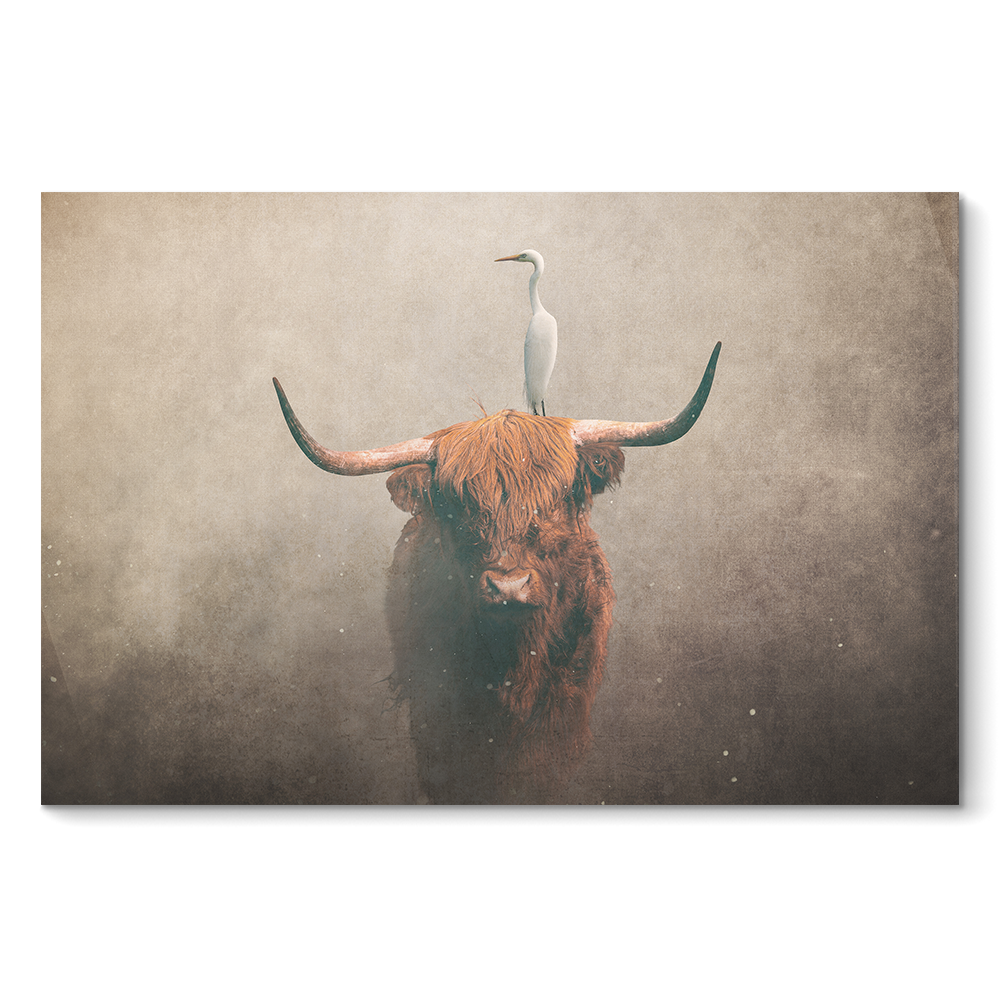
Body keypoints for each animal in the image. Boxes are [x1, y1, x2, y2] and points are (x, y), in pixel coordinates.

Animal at [273, 341, 720, 804]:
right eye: (458, 505)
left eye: (558, 498)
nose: (508, 587)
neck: (514, 660)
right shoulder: (437, 707)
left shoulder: (566, 704)